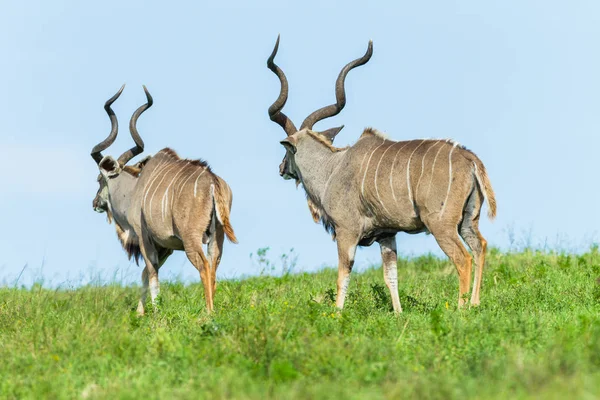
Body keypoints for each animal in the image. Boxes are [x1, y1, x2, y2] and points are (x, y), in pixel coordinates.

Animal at [91, 86, 237, 314]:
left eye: (99, 179)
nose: (95, 203)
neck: (134, 190)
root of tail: (212, 181)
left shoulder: (145, 239)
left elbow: (152, 274)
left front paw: (155, 313)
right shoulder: (166, 246)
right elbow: (146, 273)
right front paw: (140, 313)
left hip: (191, 239)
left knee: (204, 266)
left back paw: (208, 313)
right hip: (217, 237)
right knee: (214, 265)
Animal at [268, 36, 496, 312]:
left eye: (287, 151)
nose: (281, 168)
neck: (332, 167)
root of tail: (468, 157)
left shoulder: (346, 231)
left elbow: (343, 275)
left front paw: (337, 313)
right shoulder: (387, 235)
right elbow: (391, 276)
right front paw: (398, 313)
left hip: (441, 225)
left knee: (463, 259)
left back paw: (460, 309)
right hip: (468, 221)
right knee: (479, 247)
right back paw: (475, 304)